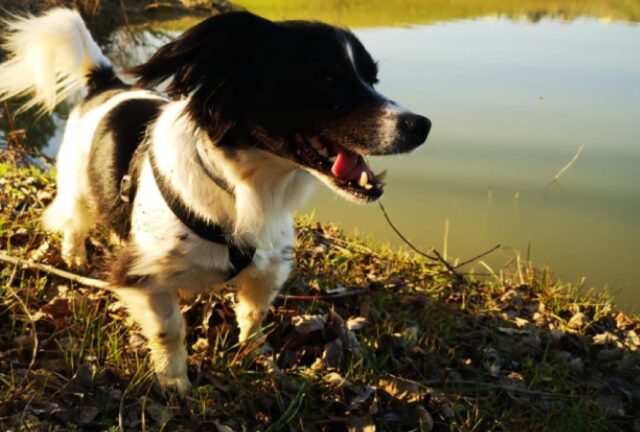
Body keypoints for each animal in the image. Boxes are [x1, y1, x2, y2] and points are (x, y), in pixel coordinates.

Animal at [1, 7, 430, 392]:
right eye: (327, 78)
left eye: (373, 78)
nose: (422, 125)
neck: (246, 188)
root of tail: (108, 84)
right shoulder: (142, 272)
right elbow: (170, 328)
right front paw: (174, 379)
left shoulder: (269, 265)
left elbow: (254, 315)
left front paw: (254, 355)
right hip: (77, 186)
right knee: (74, 220)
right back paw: (74, 255)